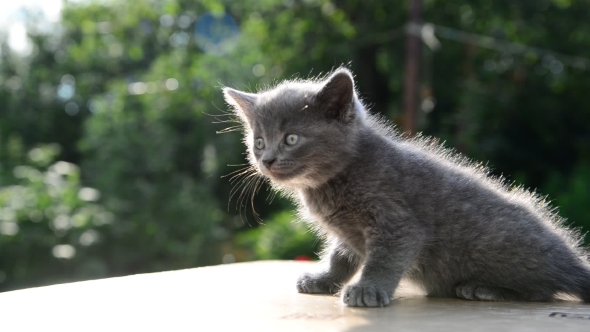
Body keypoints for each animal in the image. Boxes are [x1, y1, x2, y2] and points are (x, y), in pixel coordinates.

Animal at [223, 68, 590, 308]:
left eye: (291, 139)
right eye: (258, 141)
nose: (267, 160)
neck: (340, 176)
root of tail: (570, 259)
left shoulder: (397, 221)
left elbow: (384, 258)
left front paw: (367, 289)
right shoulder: (348, 233)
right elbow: (341, 255)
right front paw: (324, 279)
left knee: (544, 290)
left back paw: (484, 289)